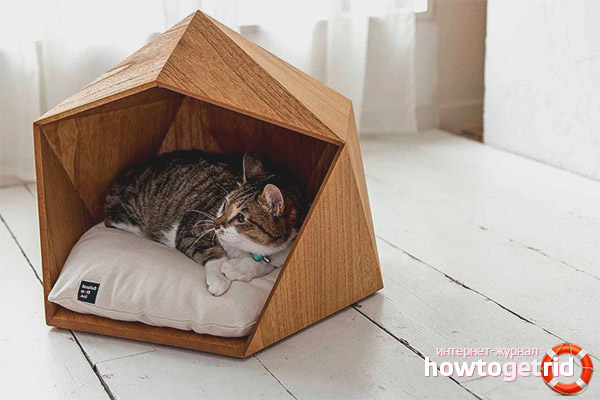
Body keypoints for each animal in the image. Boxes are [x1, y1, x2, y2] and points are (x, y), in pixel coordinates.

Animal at [104, 151, 306, 296]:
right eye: (225, 204)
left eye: (241, 218)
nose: (215, 224)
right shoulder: (190, 230)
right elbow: (214, 254)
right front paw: (219, 279)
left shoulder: (284, 253)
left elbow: (268, 263)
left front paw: (240, 268)